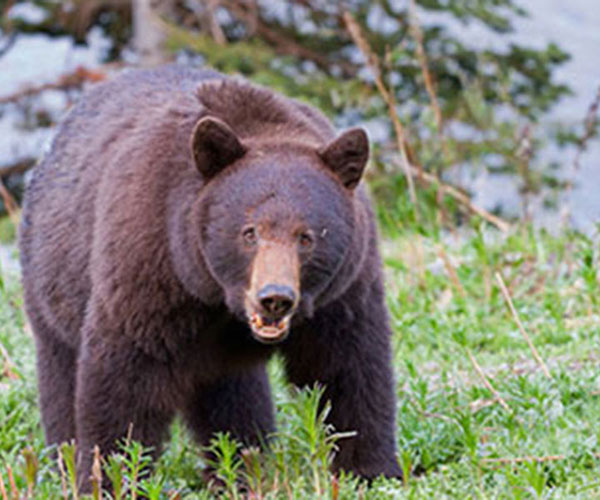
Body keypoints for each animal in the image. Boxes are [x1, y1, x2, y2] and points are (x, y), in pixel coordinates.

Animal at [18, 64, 404, 490]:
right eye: (249, 232)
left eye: (307, 236)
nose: (275, 297)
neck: (218, 297)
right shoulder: (151, 267)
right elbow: (125, 375)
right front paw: (112, 476)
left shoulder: (343, 291)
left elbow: (350, 367)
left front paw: (371, 469)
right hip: (51, 283)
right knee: (60, 375)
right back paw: (64, 459)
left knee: (232, 395)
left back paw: (242, 464)